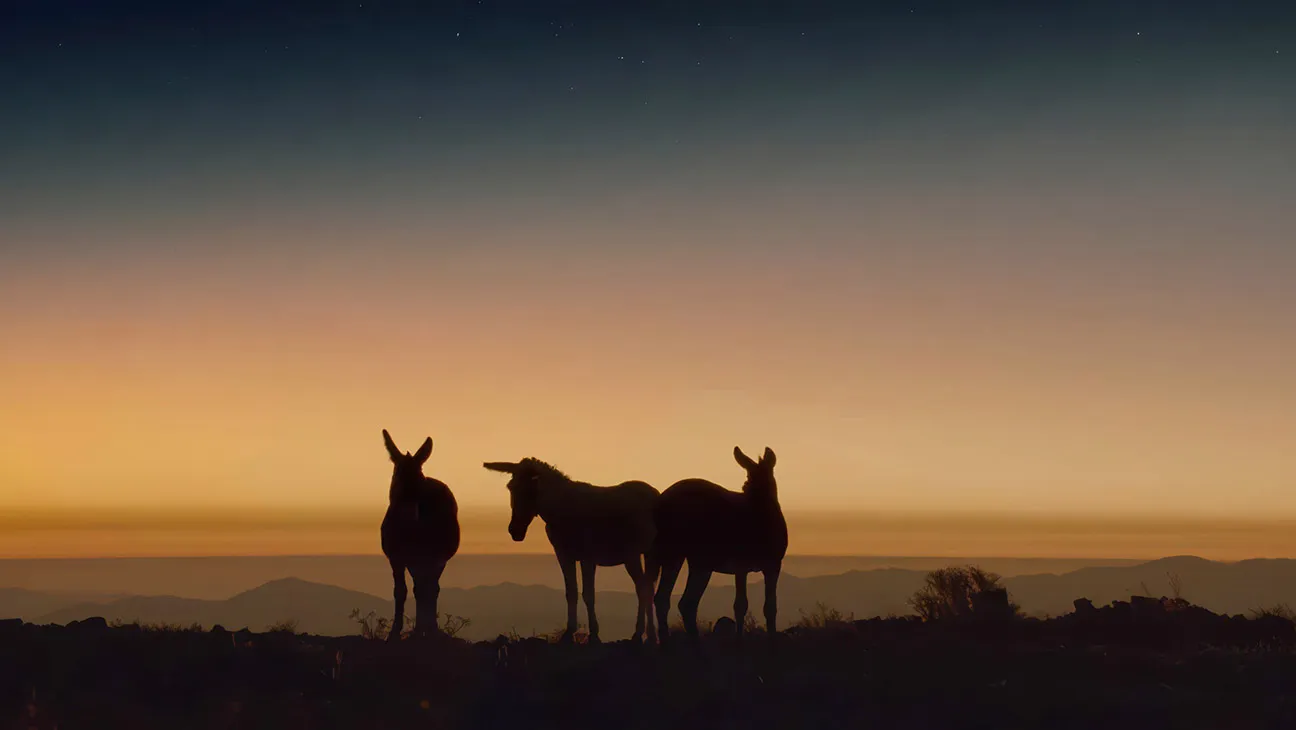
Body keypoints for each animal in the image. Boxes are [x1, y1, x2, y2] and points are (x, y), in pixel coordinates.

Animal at [379, 429, 461, 641]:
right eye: (397, 477)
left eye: (420, 480)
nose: (410, 514)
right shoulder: (396, 558)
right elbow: (401, 591)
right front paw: (395, 633)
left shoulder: (434, 558)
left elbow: (429, 589)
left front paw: (430, 629)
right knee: (420, 587)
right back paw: (419, 629)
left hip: (435, 559)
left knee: (430, 588)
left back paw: (426, 628)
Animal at [483, 458, 660, 643]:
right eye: (510, 487)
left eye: (529, 489)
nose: (514, 531)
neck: (560, 510)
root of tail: (655, 494)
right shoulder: (564, 554)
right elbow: (571, 592)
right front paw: (569, 633)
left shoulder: (588, 556)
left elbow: (589, 594)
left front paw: (594, 634)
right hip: (641, 554)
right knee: (645, 587)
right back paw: (645, 634)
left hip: (638, 554)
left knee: (644, 588)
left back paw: (645, 634)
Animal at [652, 446, 787, 641]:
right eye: (746, 484)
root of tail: (659, 505)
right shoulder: (751, 563)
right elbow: (747, 606)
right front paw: (745, 641)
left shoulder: (765, 564)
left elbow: (763, 607)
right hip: (689, 556)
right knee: (680, 601)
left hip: (684, 557)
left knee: (669, 599)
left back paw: (674, 643)